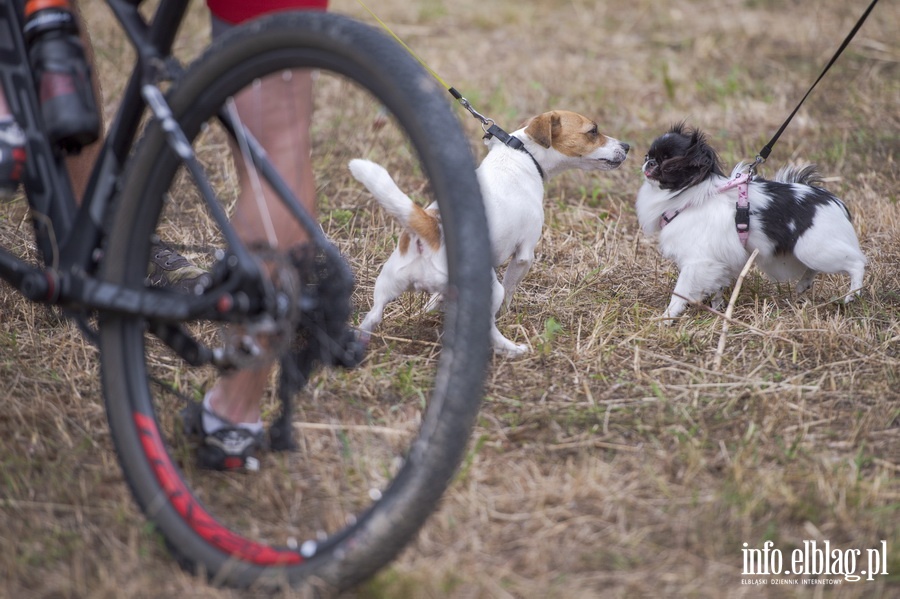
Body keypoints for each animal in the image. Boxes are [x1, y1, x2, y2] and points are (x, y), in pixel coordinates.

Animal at [348, 110, 628, 356]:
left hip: (386, 285)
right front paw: (507, 313)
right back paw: (511, 349)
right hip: (490, 289)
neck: (523, 153)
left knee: (371, 318)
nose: (626, 145)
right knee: (491, 326)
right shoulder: (524, 254)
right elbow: (512, 287)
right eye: (593, 131)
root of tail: (431, 229)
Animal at [636, 123, 868, 324]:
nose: (649, 161)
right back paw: (803, 285)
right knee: (815, 269)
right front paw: (718, 309)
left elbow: (680, 292)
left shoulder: (698, 261)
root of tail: (832, 200)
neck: (689, 196)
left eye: (668, 162)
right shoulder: (719, 259)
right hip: (807, 251)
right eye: (649, 155)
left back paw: (852, 294)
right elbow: (718, 287)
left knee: (857, 263)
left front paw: (666, 318)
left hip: (814, 249)